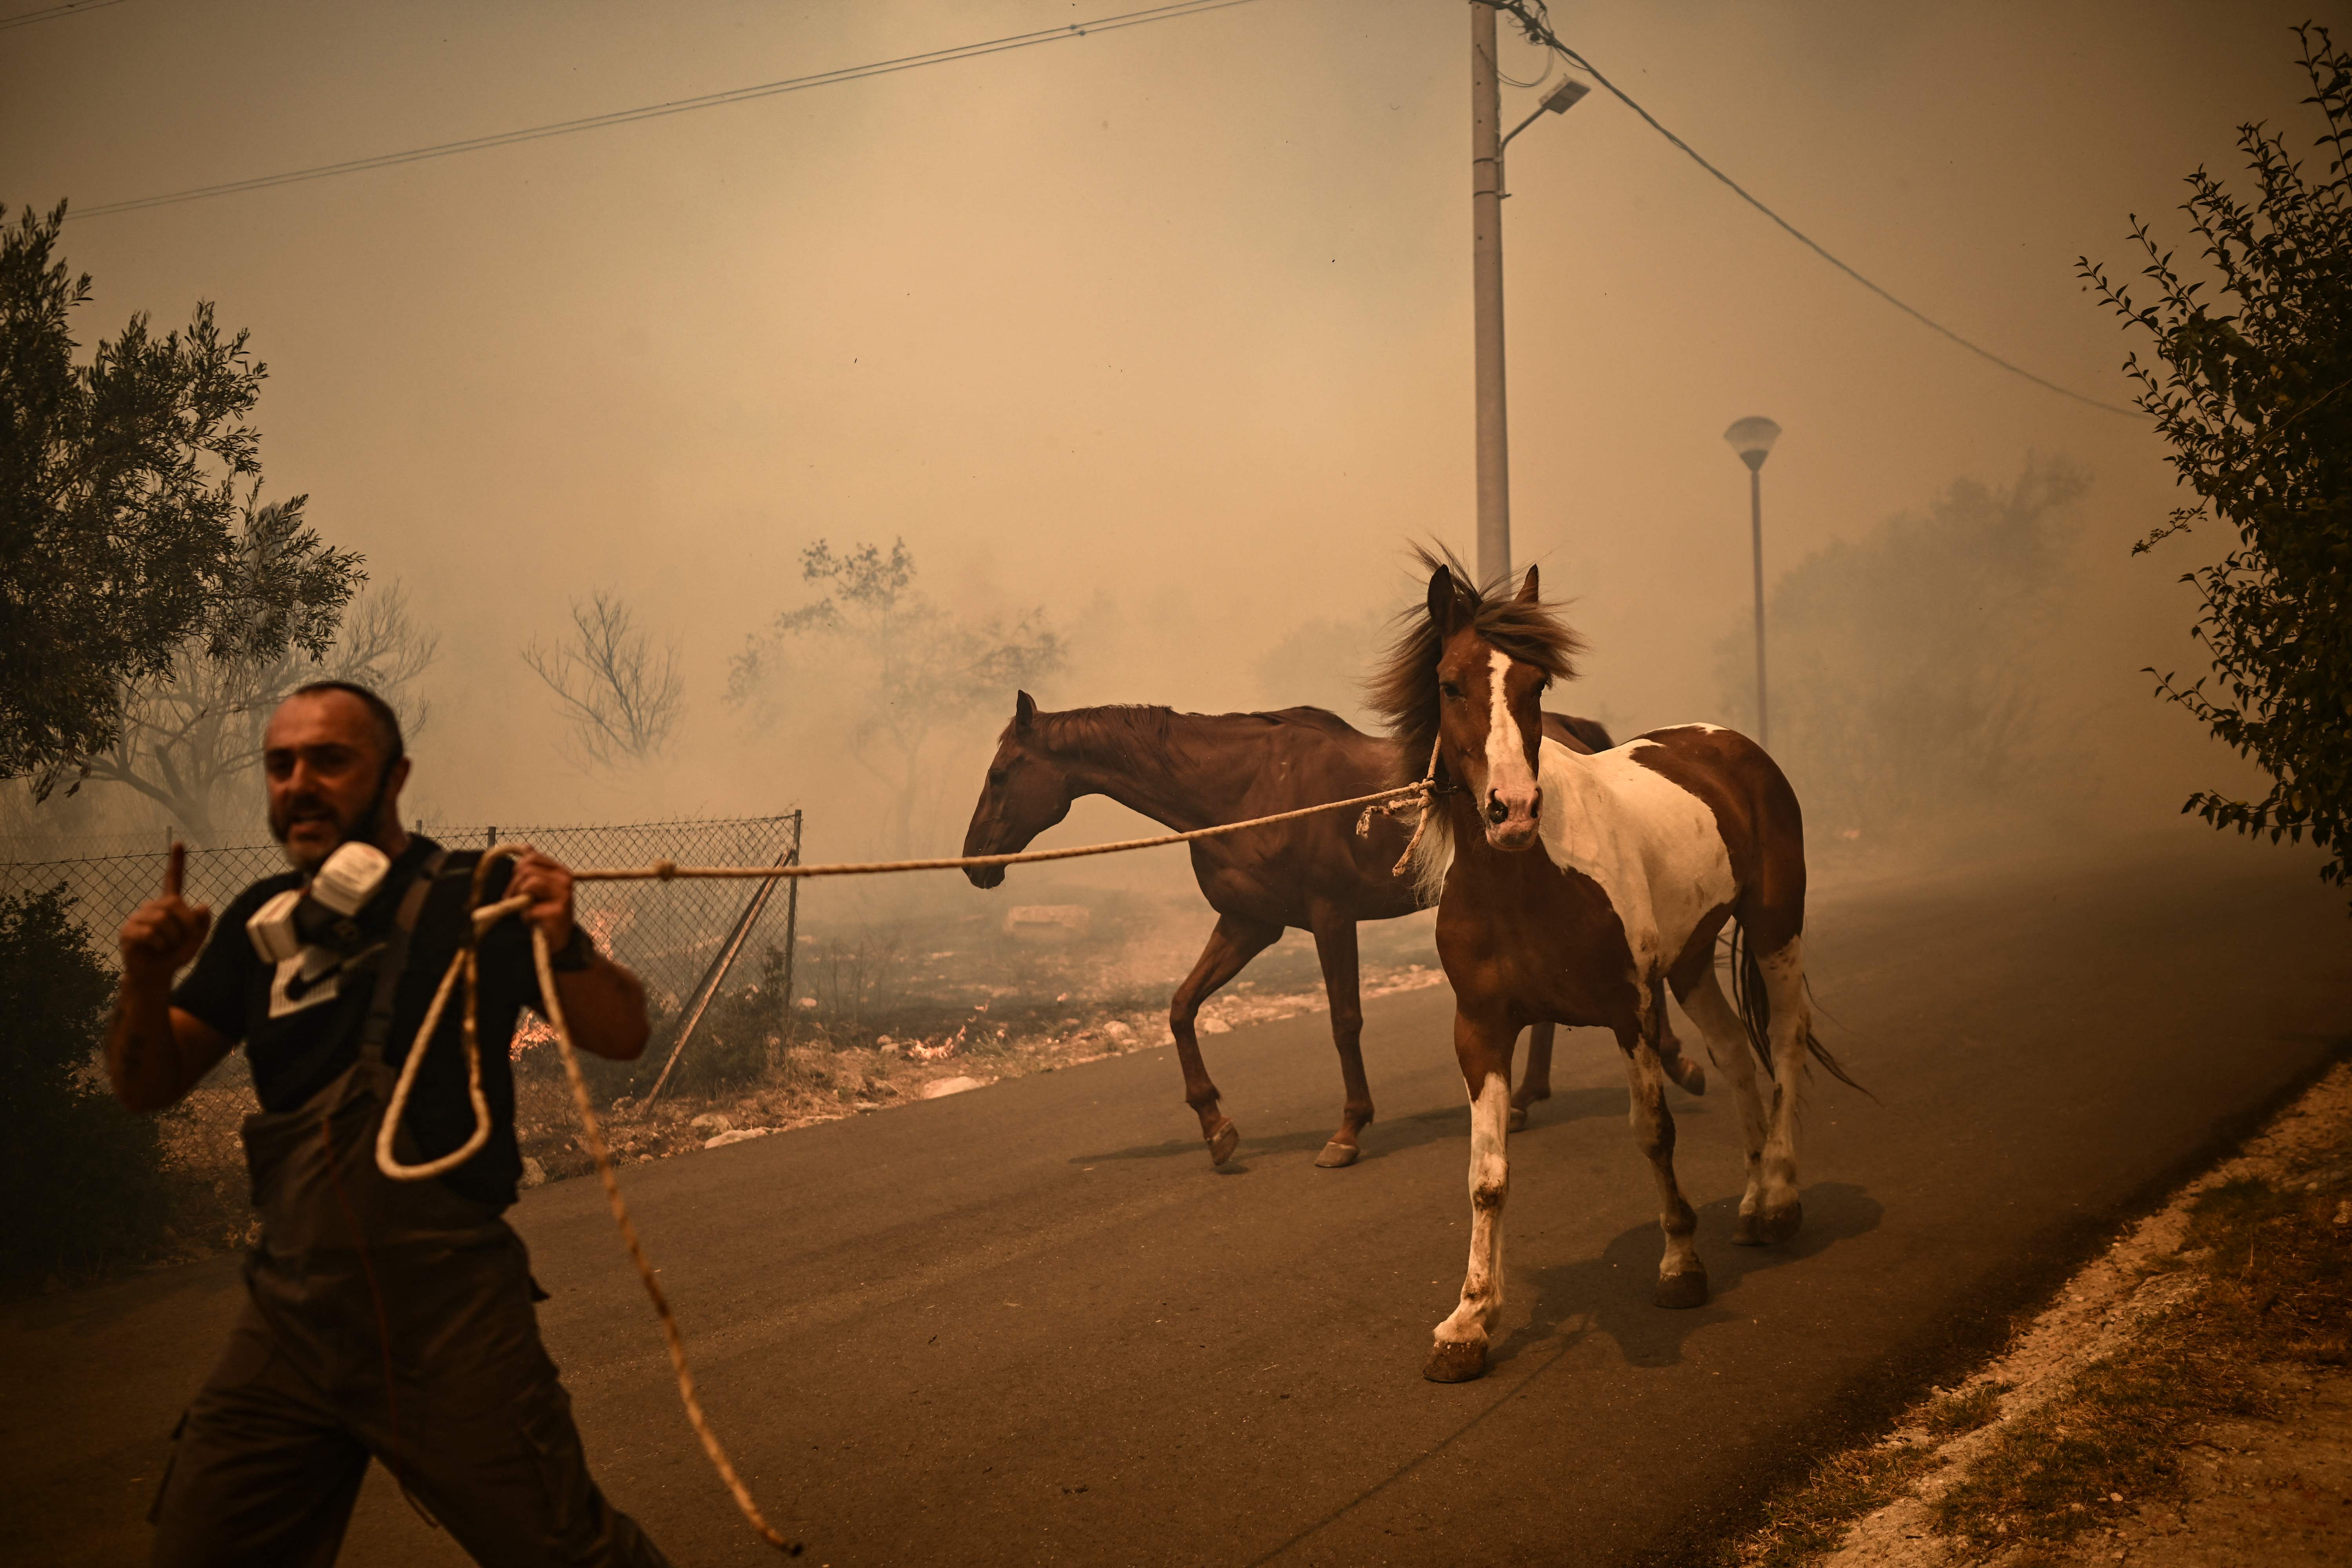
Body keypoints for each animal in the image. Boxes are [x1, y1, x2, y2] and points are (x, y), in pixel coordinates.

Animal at [960, 696, 1637, 1166]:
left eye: (1000, 774)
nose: (973, 862)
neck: (1246, 791)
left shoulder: (1330, 917)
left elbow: (1344, 1022)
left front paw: (1348, 1131)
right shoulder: (1250, 924)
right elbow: (1181, 1008)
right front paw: (1216, 1127)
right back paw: (1523, 1098)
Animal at [1374, 552, 1853, 1382]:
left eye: (1537, 686)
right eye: (1450, 683)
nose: (1512, 810)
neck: (1523, 883)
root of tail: (1728, 742)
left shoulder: (1630, 1012)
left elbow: (1654, 1132)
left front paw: (1681, 1266)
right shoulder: (1481, 1031)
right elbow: (1487, 1176)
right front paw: (1469, 1323)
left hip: (1773, 930)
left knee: (1786, 1042)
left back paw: (1782, 1197)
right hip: (1690, 963)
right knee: (1736, 1055)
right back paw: (1755, 1198)